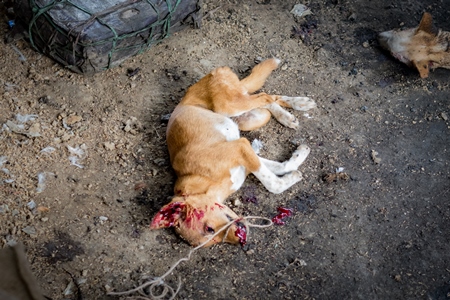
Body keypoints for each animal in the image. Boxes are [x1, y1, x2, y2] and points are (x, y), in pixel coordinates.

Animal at [149, 58, 314, 246]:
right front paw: (298, 160)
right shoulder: (244, 156)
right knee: (267, 99)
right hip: (251, 117)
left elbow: (273, 184)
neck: (203, 181)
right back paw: (296, 107)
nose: (242, 240)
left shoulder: (240, 146)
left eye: (209, 229)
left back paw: (291, 112)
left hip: (229, 105)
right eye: (213, 241)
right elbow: (281, 167)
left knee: (264, 95)